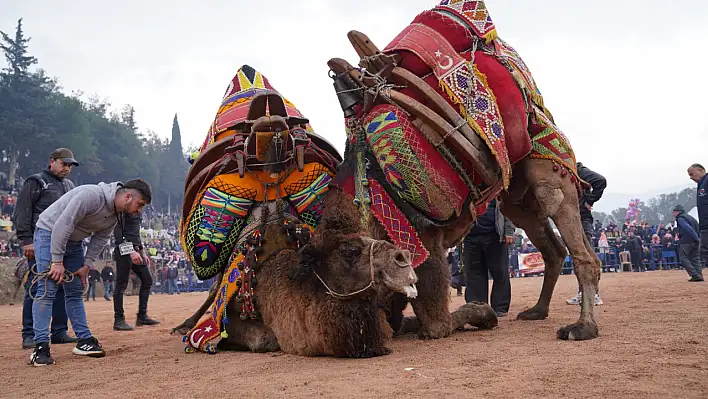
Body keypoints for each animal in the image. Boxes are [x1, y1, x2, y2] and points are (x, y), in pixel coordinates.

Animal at [328, 0, 604, 344]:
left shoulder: (424, 249)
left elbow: (437, 325)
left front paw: (483, 313)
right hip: (516, 198)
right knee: (551, 248)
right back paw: (537, 310)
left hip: (548, 161)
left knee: (575, 241)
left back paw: (582, 326)